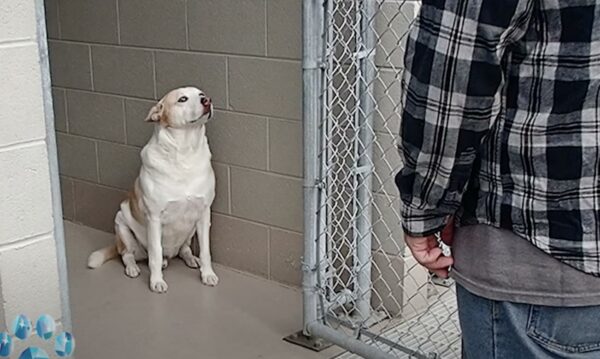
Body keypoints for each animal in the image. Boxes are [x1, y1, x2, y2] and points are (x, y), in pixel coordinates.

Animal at [88, 88, 219, 296]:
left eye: (201, 94)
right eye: (182, 99)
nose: (207, 100)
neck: (185, 153)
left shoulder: (204, 213)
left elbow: (206, 251)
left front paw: (207, 274)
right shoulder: (154, 218)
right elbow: (155, 254)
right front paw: (156, 281)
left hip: (191, 229)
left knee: (185, 250)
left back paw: (191, 259)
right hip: (121, 223)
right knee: (127, 255)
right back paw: (133, 268)